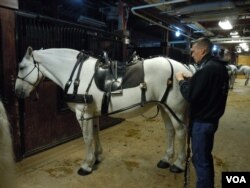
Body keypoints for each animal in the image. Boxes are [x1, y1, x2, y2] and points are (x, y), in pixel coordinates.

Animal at [15, 46, 193, 175]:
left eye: (22, 67)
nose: (17, 92)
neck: (77, 74)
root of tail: (185, 68)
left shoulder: (83, 113)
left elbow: (87, 138)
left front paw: (86, 165)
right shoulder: (92, 113)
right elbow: (95, 133)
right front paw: (97, 157)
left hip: (175, 109)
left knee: (180, 131)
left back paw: (178, 164)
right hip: (164, 107)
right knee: (170, 131)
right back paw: (165, 159)